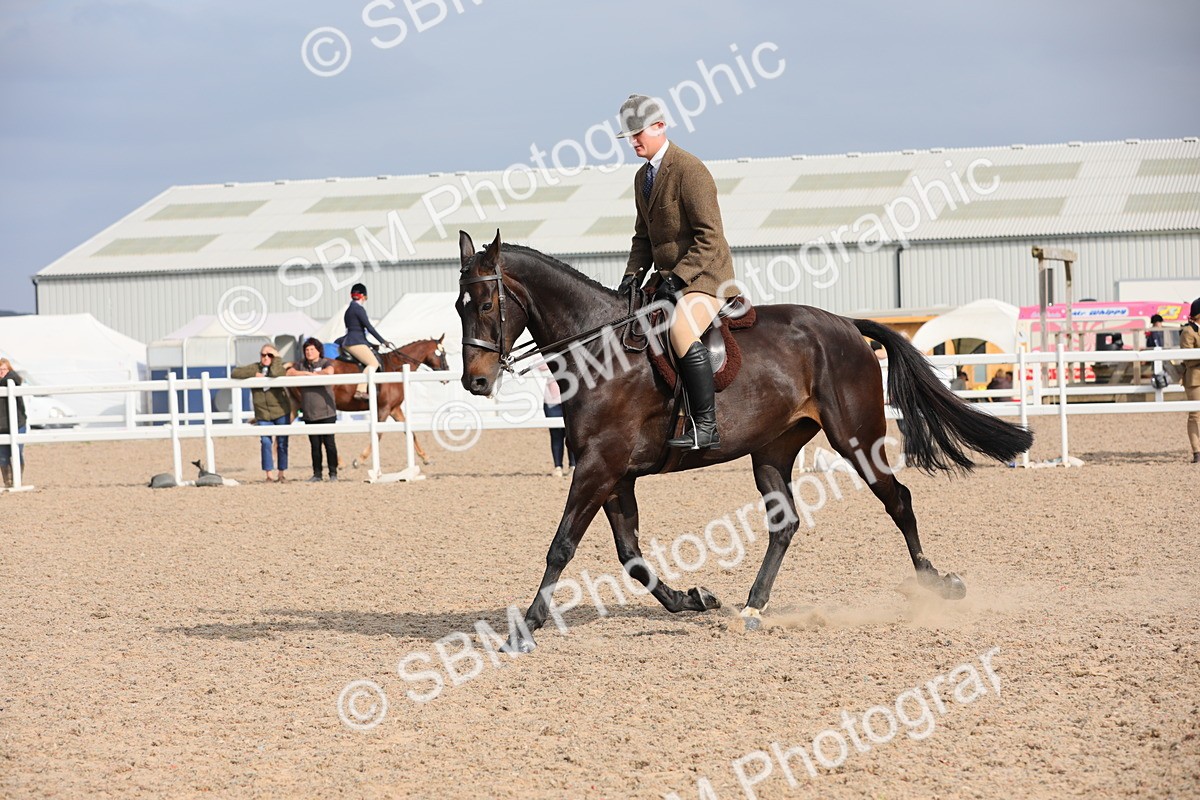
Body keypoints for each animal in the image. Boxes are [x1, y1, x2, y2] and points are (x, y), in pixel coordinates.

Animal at [289, 337, 449, 468]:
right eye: (443, 354)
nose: (447, 373)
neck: (396, 367)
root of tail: (294, 367)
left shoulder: (394, 408)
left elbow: (410, 433)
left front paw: (426, 458)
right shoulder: (384, 409)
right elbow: (378, 434)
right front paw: (359, 460)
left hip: (296, 406)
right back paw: (339, 462)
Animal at [455, 230, 1033, 653]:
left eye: (485, 304)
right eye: (460, 306)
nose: (475, 382)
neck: (599, 351)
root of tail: (846, 325)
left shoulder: (599, 466)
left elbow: (562, 546)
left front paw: (525, 628)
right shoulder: (614, 473)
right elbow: (630, 556)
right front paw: (694, 598)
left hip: (856, 438)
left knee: (899, 501)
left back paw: (937, 585)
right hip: (771, 450)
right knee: (786, 524)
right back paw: (753, 607)